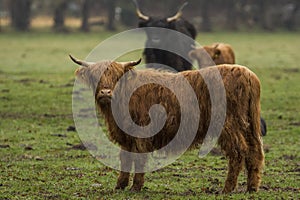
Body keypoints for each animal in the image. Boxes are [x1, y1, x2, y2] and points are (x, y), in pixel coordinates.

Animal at [69, 55, 264, 194]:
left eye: (116, 76)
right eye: (95, 77)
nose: (105, 92)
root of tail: (247, 74)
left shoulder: (140, 133)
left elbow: (139, 158)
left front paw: (136, 187)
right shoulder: (126, 135)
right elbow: (125, 157)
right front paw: (120, 185)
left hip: (228, 124)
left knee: (238, 151)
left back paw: (227, 189)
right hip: (248, 124)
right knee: (255, 150)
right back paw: (251, 187)